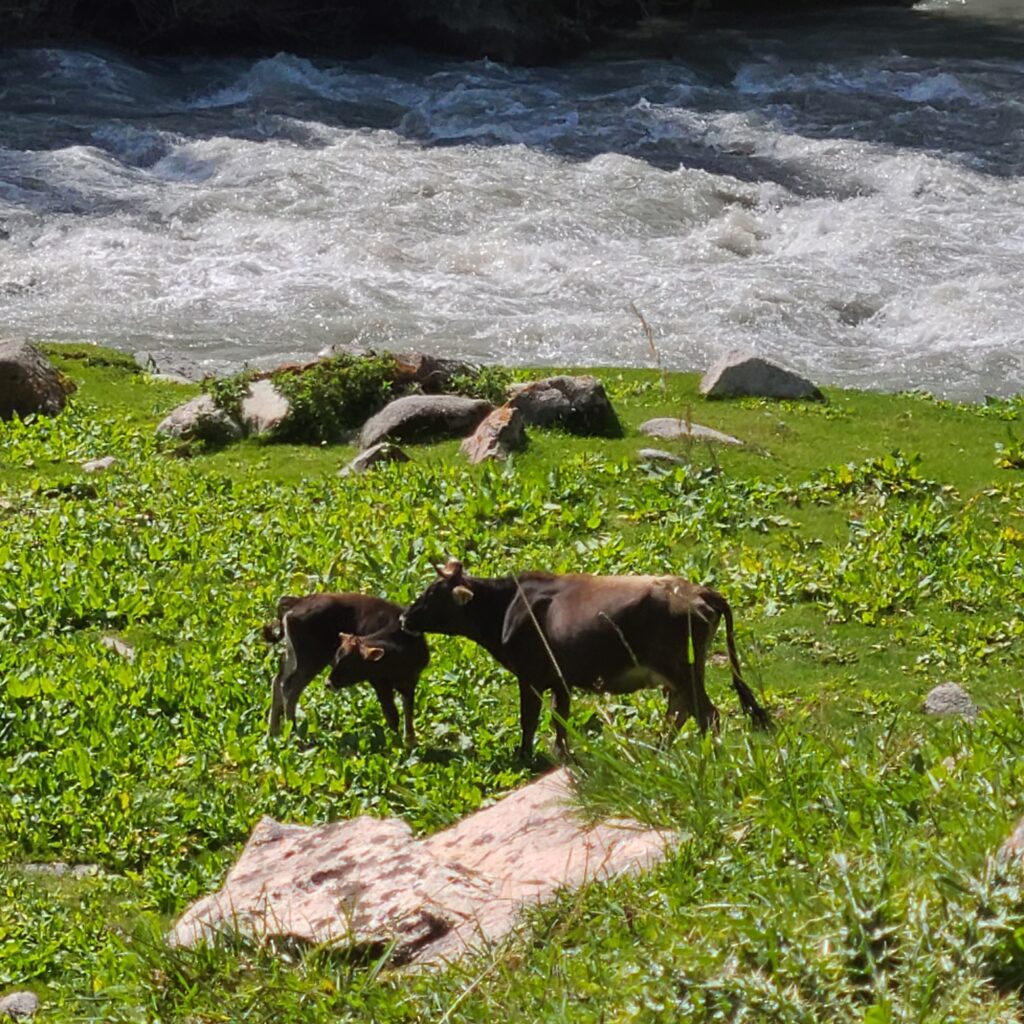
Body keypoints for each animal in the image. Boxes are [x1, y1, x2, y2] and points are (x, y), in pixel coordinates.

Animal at [263, 593, 428, 743]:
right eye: (337, 659)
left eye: (349, 663)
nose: (328, 683)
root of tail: (298, 601)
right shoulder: (379, 682)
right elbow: (392, 714)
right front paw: (397, 746)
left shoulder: (411, 680)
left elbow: (408, 710)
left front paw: (410, 742)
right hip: (310, 660)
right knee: (289, 688)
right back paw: (294, 735)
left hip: (293, 656)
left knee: (278, 680)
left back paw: (273, 733)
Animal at [400, 560, 769, 760]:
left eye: (432, 593)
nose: (404, 617)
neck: (508, 607)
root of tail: (703, 591)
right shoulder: (560, 680)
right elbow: (560, 719)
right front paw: (563, 755)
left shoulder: (530, 676)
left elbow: (529, 720)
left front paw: (524, 756)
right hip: (681, 673)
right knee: (680, 712)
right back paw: (658, 751)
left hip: (682, 668)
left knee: (706, 714)